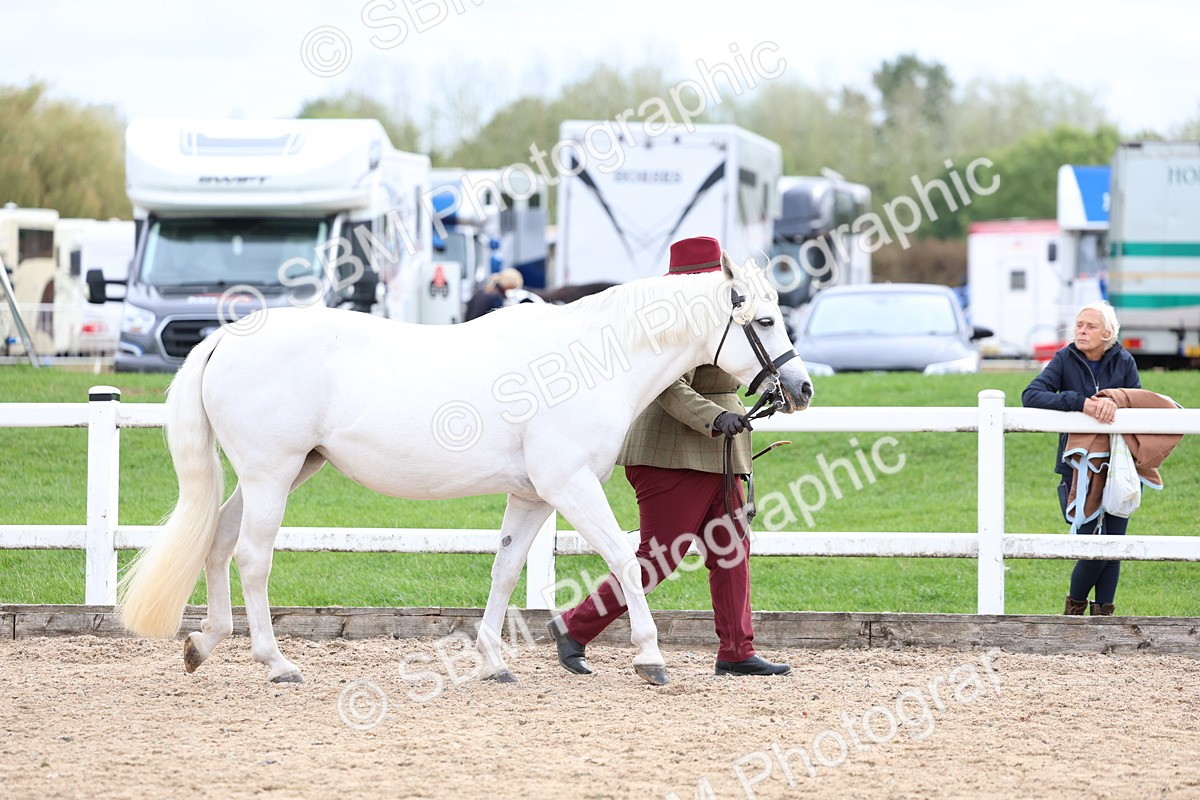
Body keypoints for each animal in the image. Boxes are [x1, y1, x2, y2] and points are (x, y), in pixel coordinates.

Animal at [115, 255, 813, 685]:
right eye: (765, 319)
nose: (801, 388)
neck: (587, 362)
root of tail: (225, 337)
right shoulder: (570, 485)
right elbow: (623, 556)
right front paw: (649, 656)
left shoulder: (533, 496)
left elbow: (505, 570)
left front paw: (494, 661)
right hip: (271, 474)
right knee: (252, 557)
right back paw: (276, 662)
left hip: (281, 473)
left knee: (219, 540)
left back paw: (203, 644)